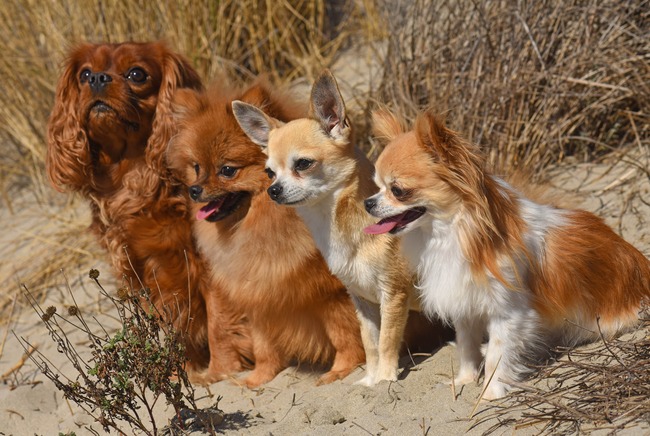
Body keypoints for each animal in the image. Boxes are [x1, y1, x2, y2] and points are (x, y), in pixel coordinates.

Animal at [45, 41, 252, 382]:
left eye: (136, 74)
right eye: (84, 74)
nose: (97, 79)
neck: (132, 177)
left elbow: (220, 321)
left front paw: (221, 371)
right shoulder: (139, 270)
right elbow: (168, 326)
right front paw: (180, 374)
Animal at [165, 78, 368, 388]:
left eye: (227, 170)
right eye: (196, 167)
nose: (194, 190)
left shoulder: (331, 294)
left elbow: (344, 334)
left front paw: (343, 369)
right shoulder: (258, 297)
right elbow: (263, 346)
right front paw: (258, 378)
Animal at [232, 69, 450, 384]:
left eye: (303, 164)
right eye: (269, 172)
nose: (273, 190)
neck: (342, 228)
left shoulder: (393, 294)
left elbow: (387, 340)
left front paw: (385, 379)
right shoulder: (362, 301)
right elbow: (370, 342)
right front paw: (370, 380)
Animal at [362, 108, 644, 398]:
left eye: (398, 191)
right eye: (376, 186)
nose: (368, 203)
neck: (450, 233)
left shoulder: (507, 313)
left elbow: (498, 355)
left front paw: (490, 393)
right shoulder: (465, 307)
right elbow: (467, 346)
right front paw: (465, 380)